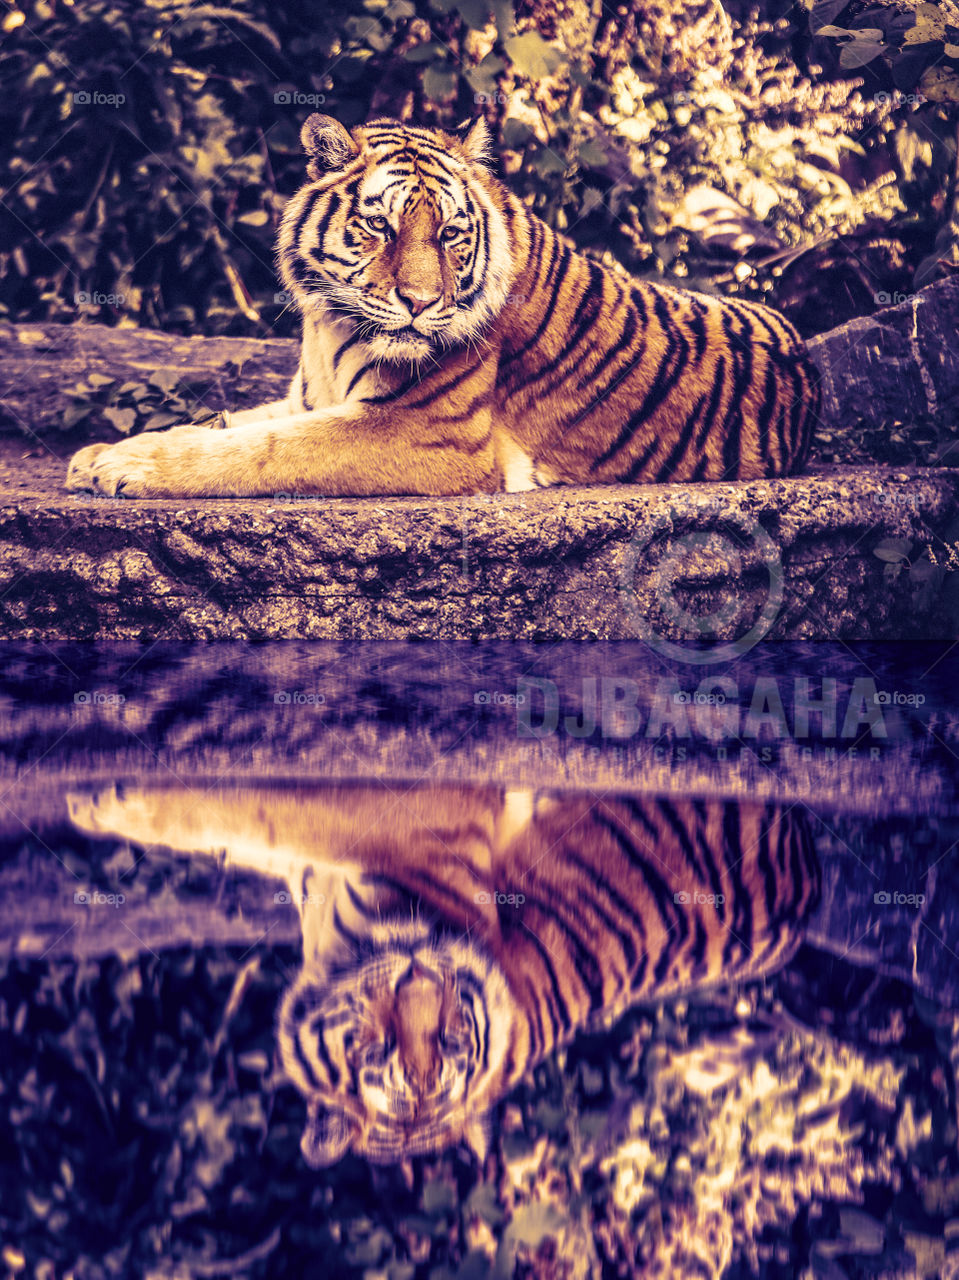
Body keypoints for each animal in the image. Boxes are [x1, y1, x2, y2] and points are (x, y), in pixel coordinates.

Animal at [66, 114, 820, 499]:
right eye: (381, 226)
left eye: (451, 233)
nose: (422, 303)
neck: (329, 327)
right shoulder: (308, 397)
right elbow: (228, 422)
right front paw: (100, 453)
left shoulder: (426, 432)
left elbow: (265, 449)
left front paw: (126, 466)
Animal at [66, 782, 820, 1166]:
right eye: (377, 1051)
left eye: (446, 1048)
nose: (423, 980)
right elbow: (238, 826)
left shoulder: (410, 817)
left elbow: (257, 809)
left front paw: (101, 800)